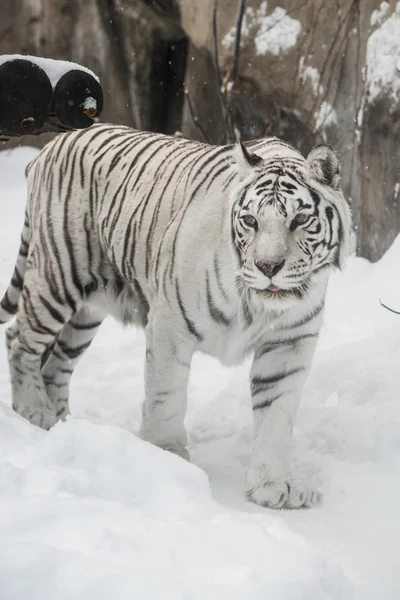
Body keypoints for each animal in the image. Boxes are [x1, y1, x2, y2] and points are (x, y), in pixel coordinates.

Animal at [0, 124, 350, 508]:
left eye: (300, 219)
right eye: (250, 221)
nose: (267, 266)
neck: (257, 306)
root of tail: (55, 142)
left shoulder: (289, 342)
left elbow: (276, 414)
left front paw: (274, 485)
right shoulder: (170, 323)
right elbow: (166, 395)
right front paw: (166, 453)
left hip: (88, 310)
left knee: (56, 365)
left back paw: (63, 425)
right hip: (57, 276)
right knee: (20, 339)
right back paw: (34, 412)